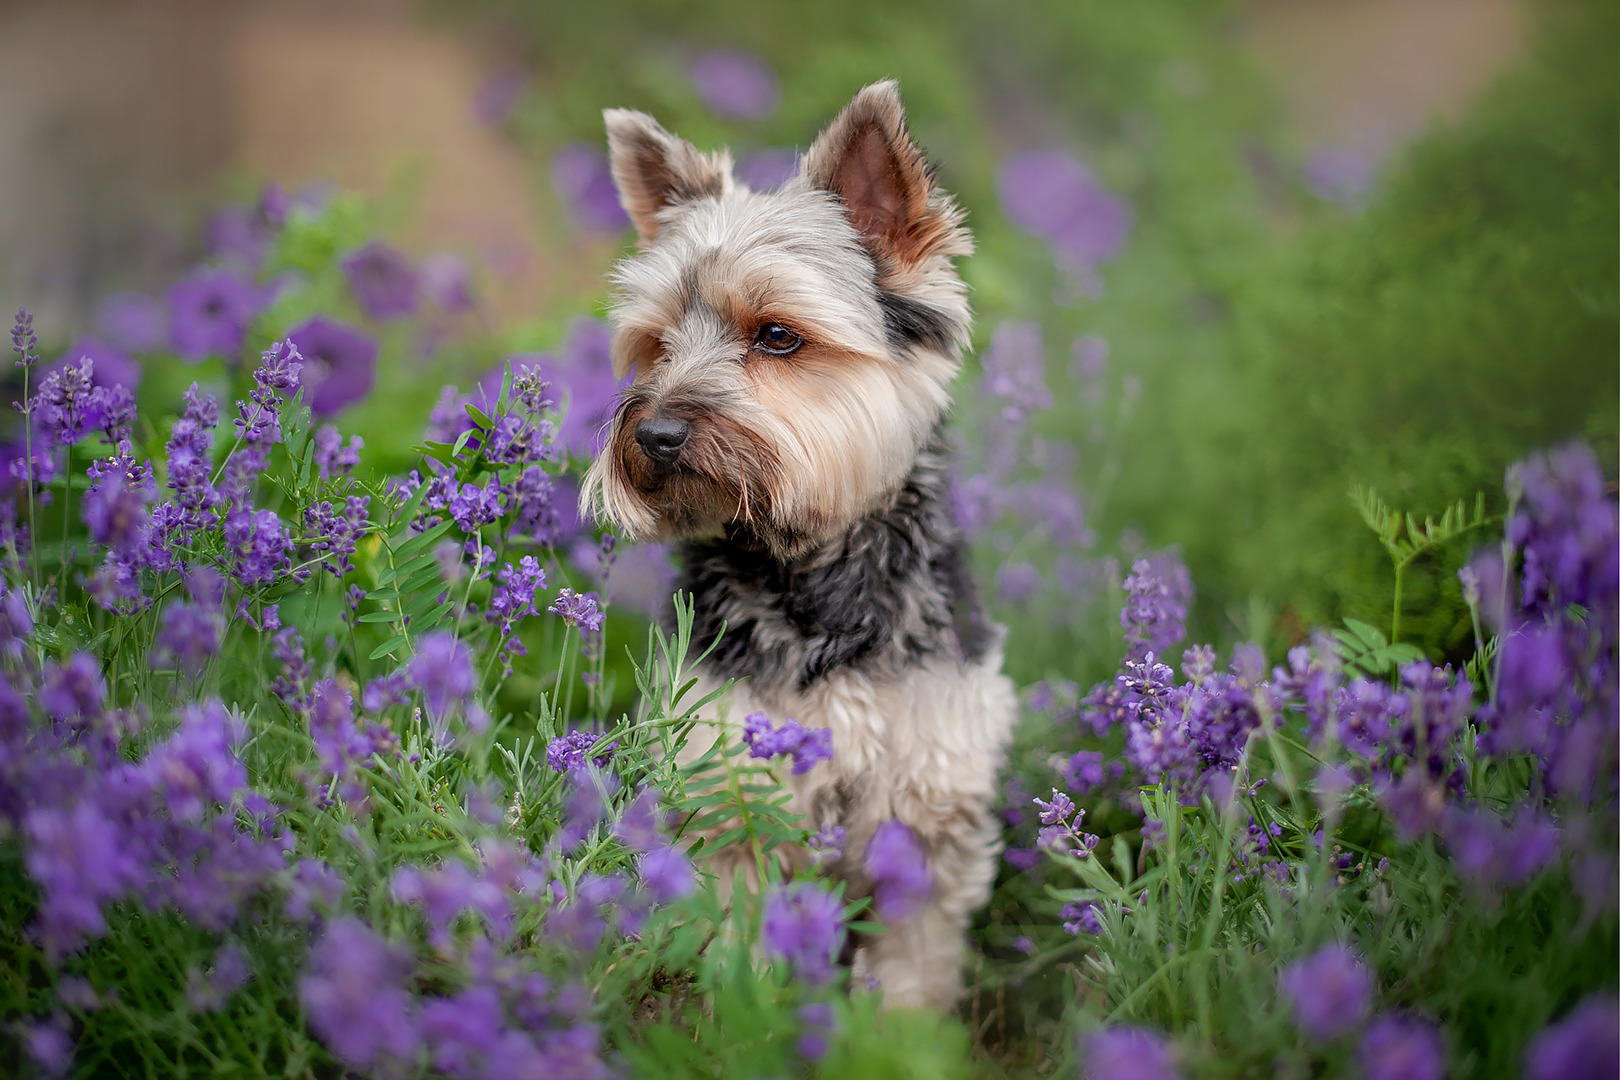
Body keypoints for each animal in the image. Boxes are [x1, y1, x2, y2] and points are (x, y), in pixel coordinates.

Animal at [583, 80, 1010, 1010]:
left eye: (777, 335)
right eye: (657, 344)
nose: (656, 434)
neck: (814, 580)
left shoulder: (927, 809)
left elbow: (914, 963)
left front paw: (899, 1029)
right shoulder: (734, 800)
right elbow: (741, 941)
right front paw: (754, 1012)